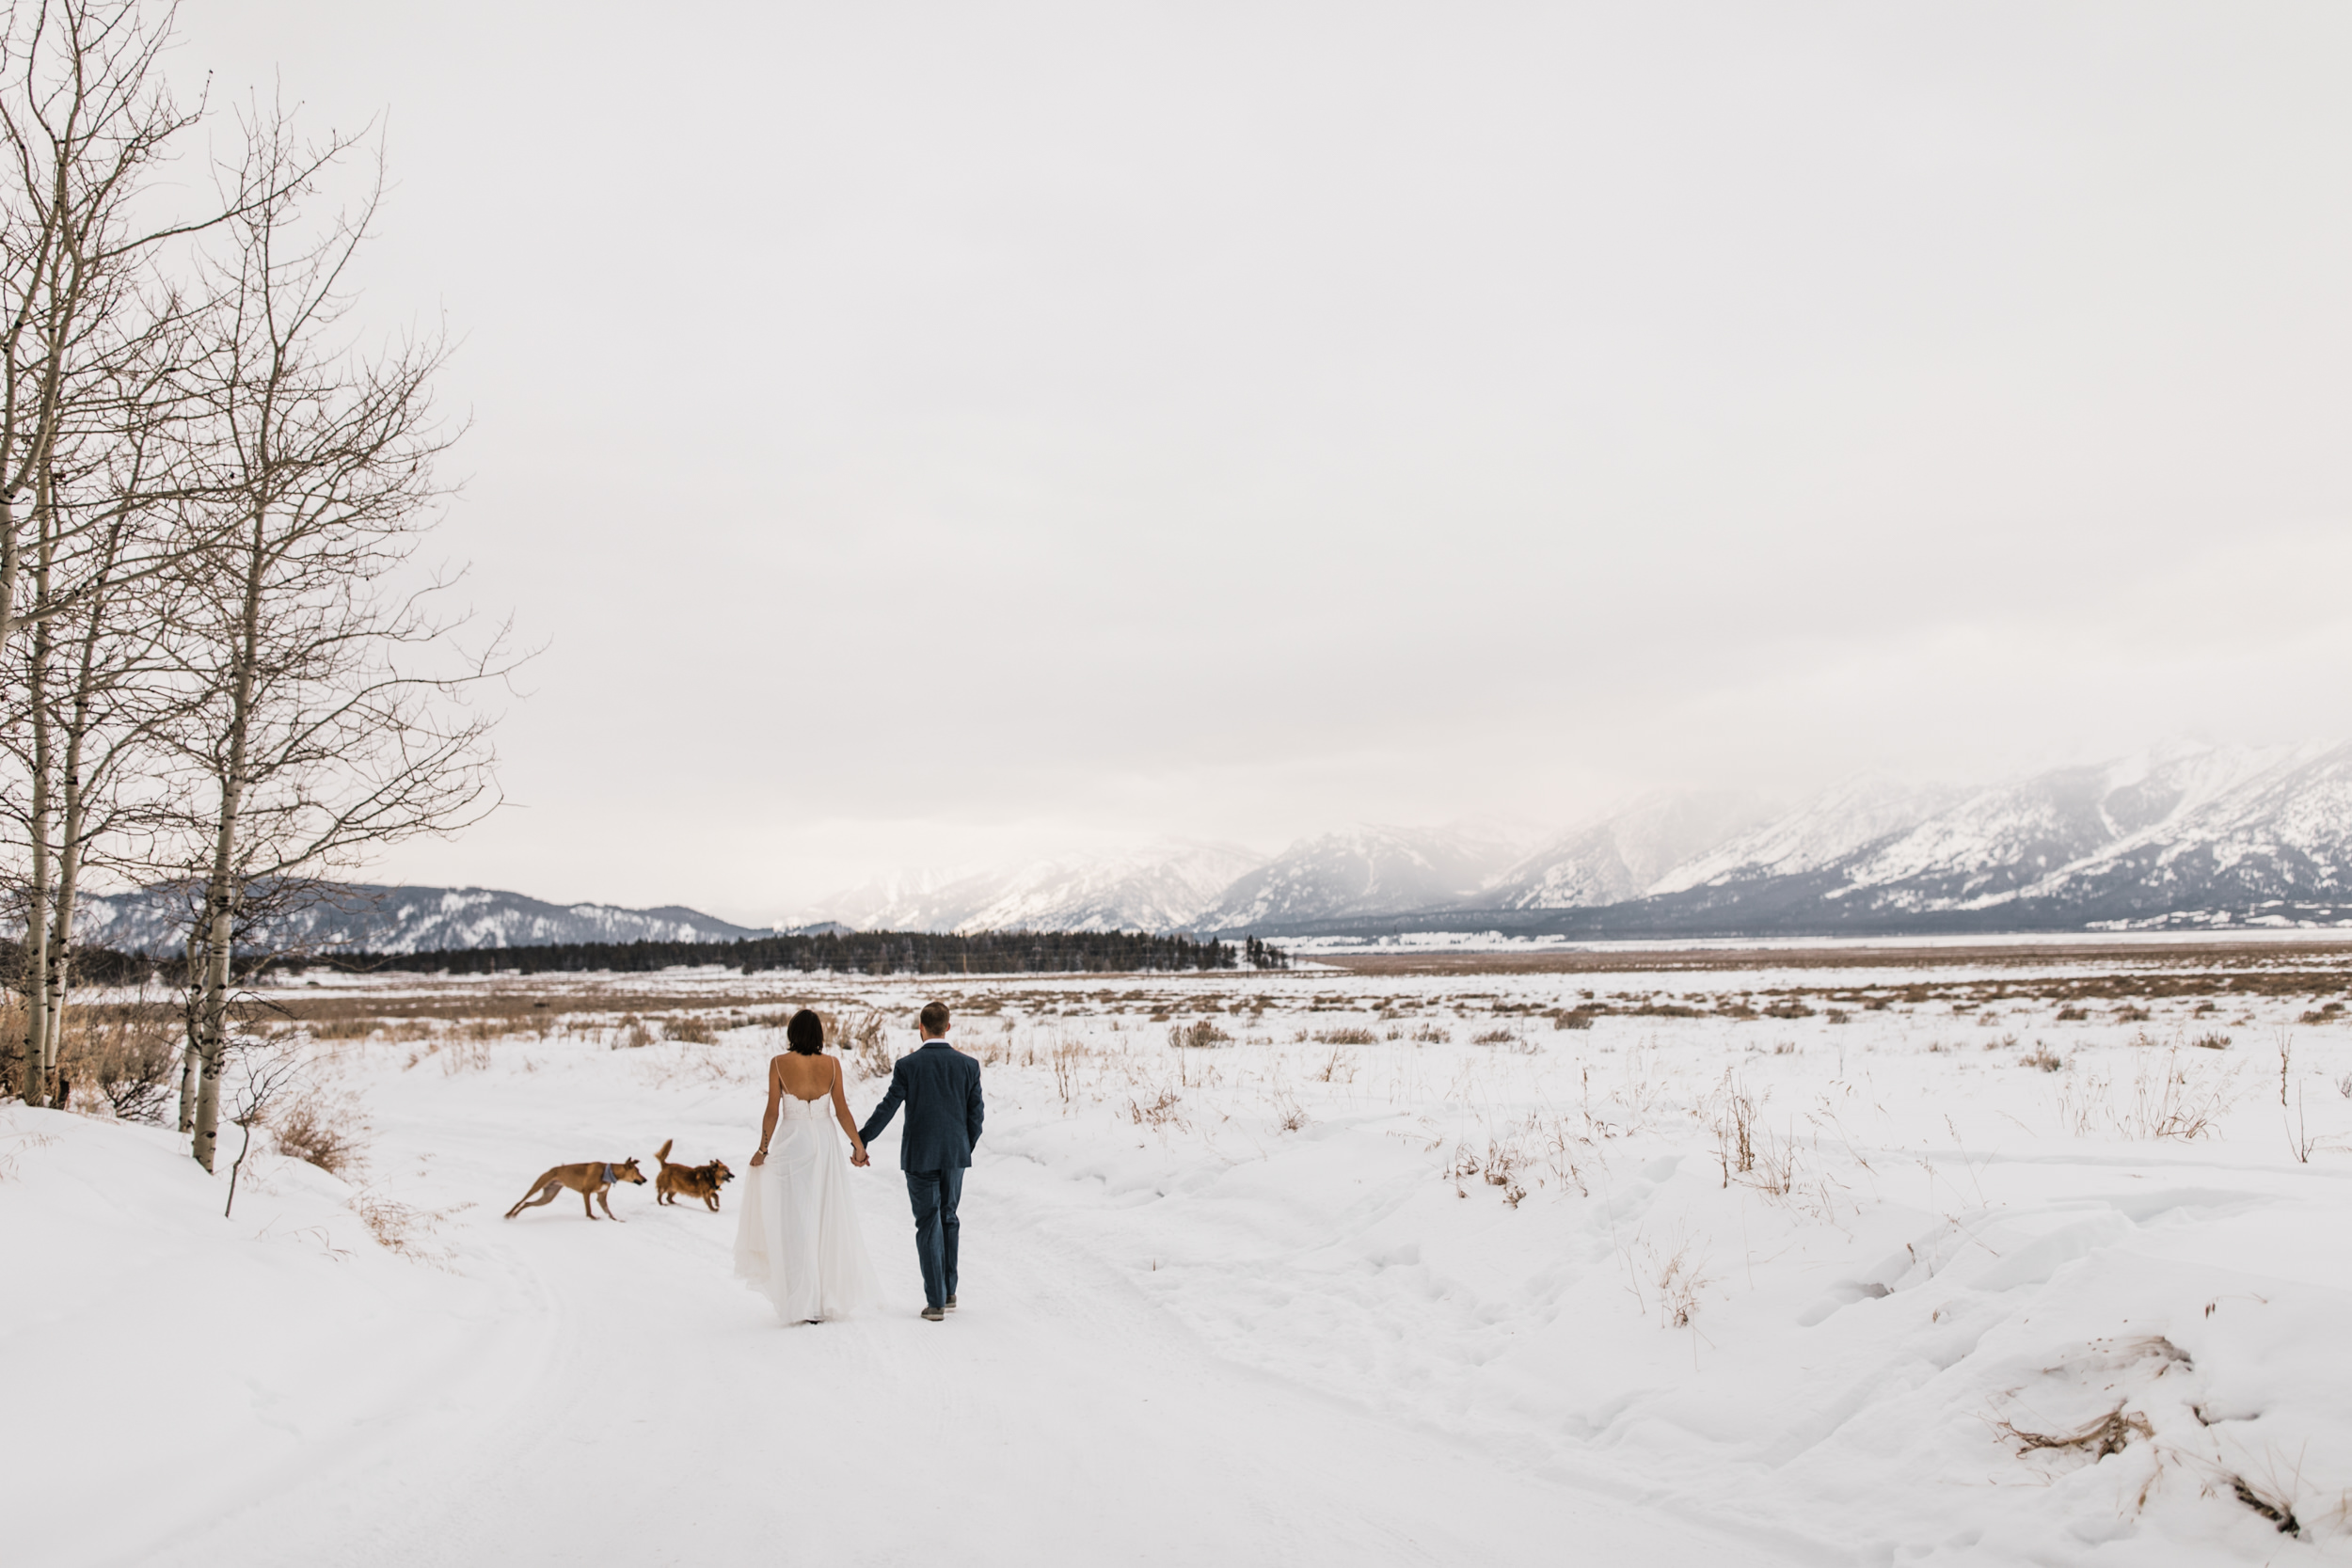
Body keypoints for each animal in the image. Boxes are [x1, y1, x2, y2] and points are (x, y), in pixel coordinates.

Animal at [499, 1161, 644, 1222]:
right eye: (637, 1171)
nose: (645, 1179)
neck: (608, 1172)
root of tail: (552, 1169)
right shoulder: (586, 1191)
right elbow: (588, 1210)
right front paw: (592, 1217)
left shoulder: (601, 1197)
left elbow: (609, 1212)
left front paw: (616, 1220)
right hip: (537, 1186)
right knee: (520, 1201)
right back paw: (508, 1214)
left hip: (548, 1197)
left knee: (527, 1203)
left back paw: (514, 1215)